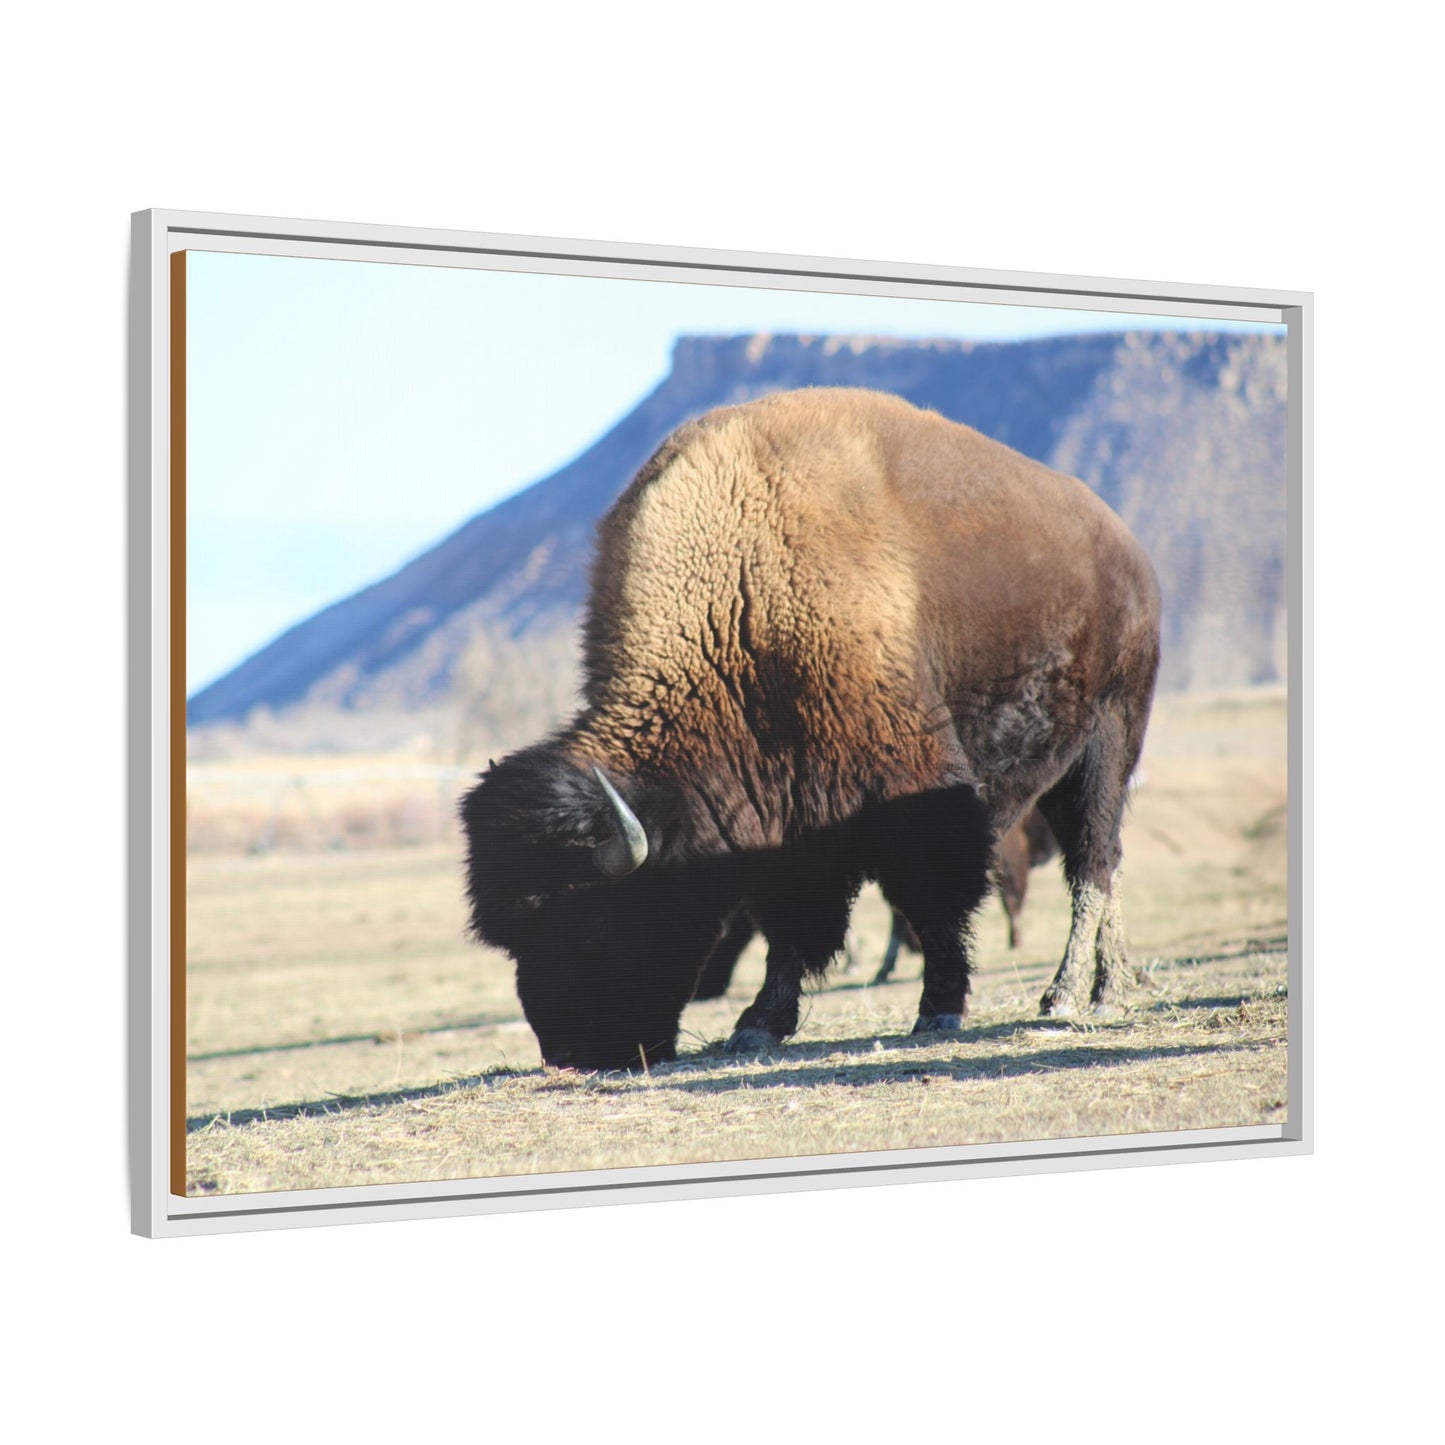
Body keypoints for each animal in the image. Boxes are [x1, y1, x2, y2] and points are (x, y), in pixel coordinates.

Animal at [462, 388, 1161, 1070]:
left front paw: (938, 1009)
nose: (570, 1055)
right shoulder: (786, 819)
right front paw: (758, 1025)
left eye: (592, 921)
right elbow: (789, 925)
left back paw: (1074, 995)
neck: (741, 599)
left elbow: (932, 900)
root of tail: (1127, 551)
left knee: (1092, 864)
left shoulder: (912, 789)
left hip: (1107, 745)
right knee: (1105, 863)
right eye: (513, 938)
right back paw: (1109, 986)